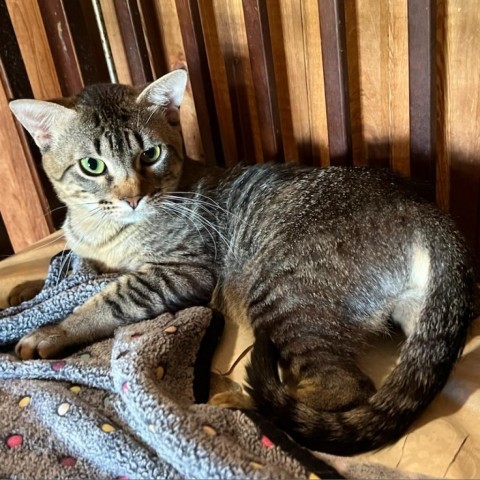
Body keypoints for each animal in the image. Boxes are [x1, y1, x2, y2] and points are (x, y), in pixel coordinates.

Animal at [9, 69, 474, 456]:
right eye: (92, 165)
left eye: (151, 154)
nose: (133, 197)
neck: (101, 230)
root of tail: (427, 211)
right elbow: (72, 270)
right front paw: (26, 290)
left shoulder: (181, 272)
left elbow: (108, 299)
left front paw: (52, 331)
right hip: (418, 315)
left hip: (280, 292)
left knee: (344, 386)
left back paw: (240, 401)